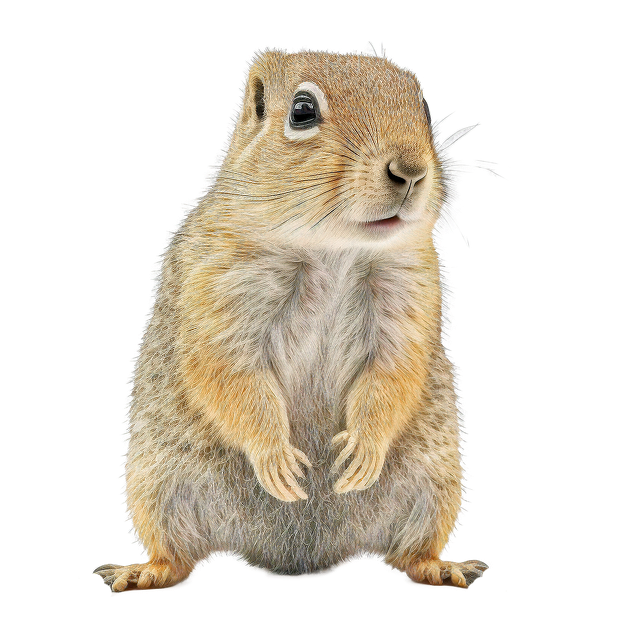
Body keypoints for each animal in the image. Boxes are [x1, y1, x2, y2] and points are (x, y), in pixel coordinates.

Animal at [94, 42, 495, 592]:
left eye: (419, 104)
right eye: (302, 112)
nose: (411, 169)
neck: (333, 250)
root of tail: (300, 558)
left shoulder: (411, 293)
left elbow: (395, 371)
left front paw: (363, 449)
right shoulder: (218, 287)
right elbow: (228, 373)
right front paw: (276, 457)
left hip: (436, 484)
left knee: (410, 552)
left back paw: (445, 565)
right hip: (156, 485)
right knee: (177, 554)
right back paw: (144, 571)